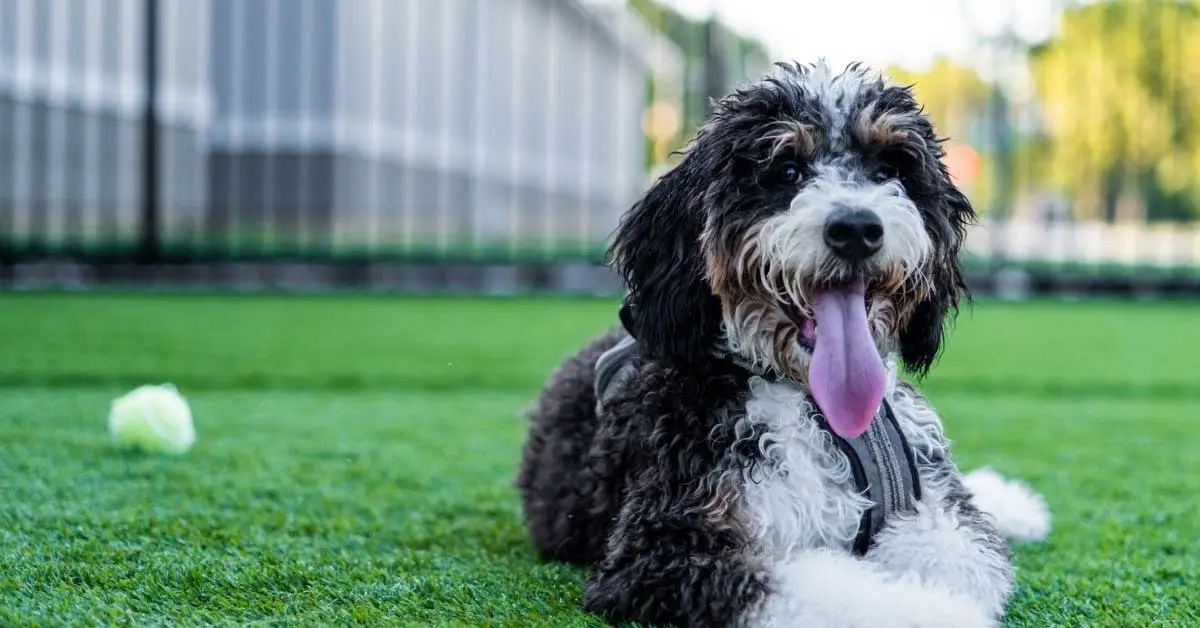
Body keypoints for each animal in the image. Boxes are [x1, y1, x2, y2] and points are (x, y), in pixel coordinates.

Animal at [516, 60, 1051, 628]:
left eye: (890, 170)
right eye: (786, 170)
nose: (856, 228)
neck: (815, 407)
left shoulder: (939, 514)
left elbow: (968, 556)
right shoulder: (664, 547)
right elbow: (831, 589)